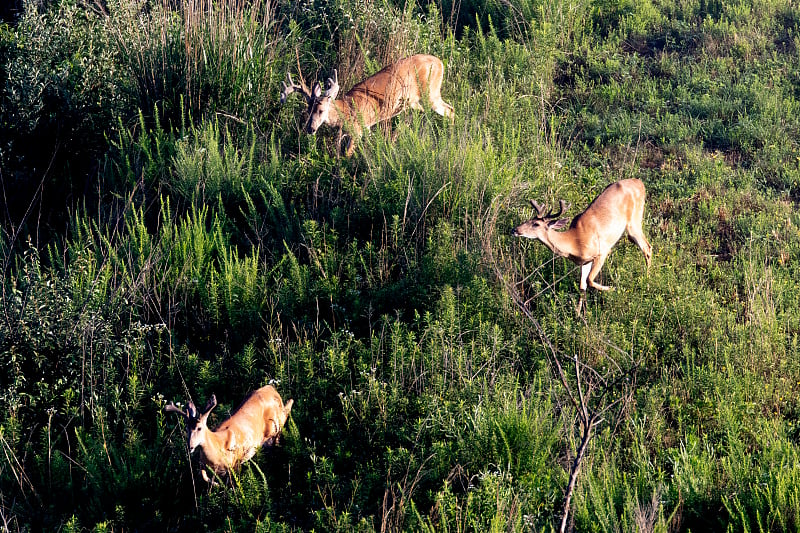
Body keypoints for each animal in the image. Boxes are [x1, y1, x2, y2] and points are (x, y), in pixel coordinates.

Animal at [166, 382, 294, 482]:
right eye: (186, 429)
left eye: (199, 428)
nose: (190, 446)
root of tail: (273, 390)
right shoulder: (203, 464)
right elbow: (205, 477)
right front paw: (216, 484)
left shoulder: (236, 462)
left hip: (275, 428)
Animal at [282, 54, 456, 157]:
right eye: (308, 110)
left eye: (321, 110)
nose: (310, 129)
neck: (346, 110)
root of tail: (440, 62)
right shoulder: (365, 128)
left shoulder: (358, 130)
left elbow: (347, 154)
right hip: (414, 103)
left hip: (431, 94)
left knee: (451, 110)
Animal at [512, 179, 648, 312]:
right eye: (528, 220)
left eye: (536, 224)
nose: (515, 230)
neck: (574, 242)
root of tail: (640, 182)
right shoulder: (585, 261)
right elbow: (582, 286)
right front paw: (578, 314)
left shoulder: (602, 251)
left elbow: (590, 280)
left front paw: (612, 288)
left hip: (634, 221)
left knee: (647, 248)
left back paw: (646, 283)